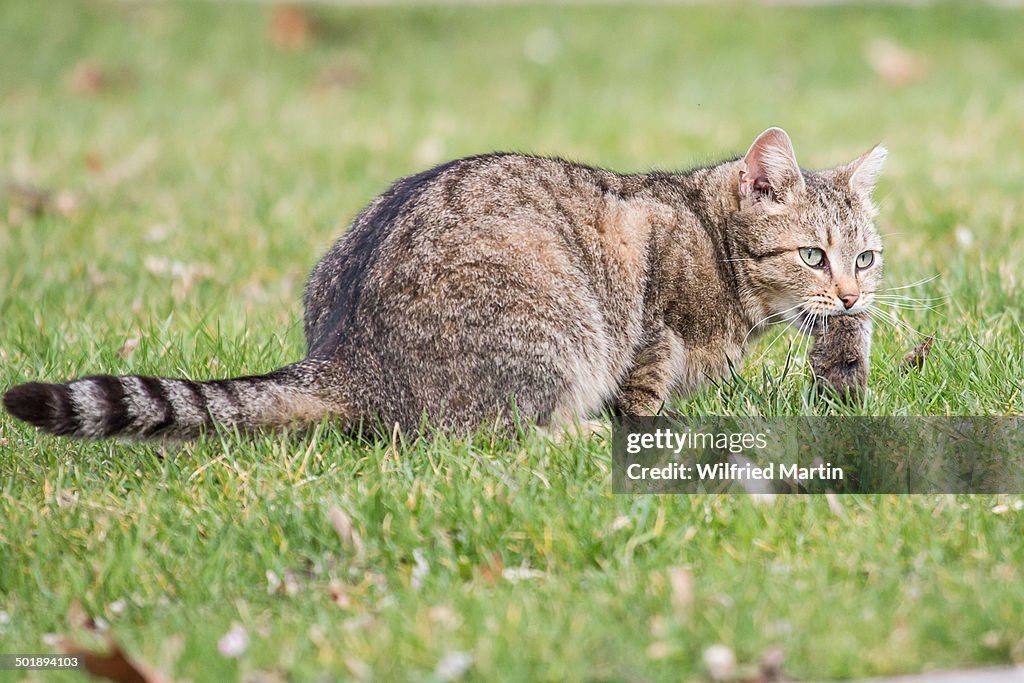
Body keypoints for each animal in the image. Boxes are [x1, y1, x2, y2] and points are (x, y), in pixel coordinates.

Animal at [0, 126, 884, 438]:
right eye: (813, 255)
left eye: (865, 259)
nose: (851, 298)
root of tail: (345, 354)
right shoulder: (647, 298)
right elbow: (643, 391)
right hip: (556, 330)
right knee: (495, 437)